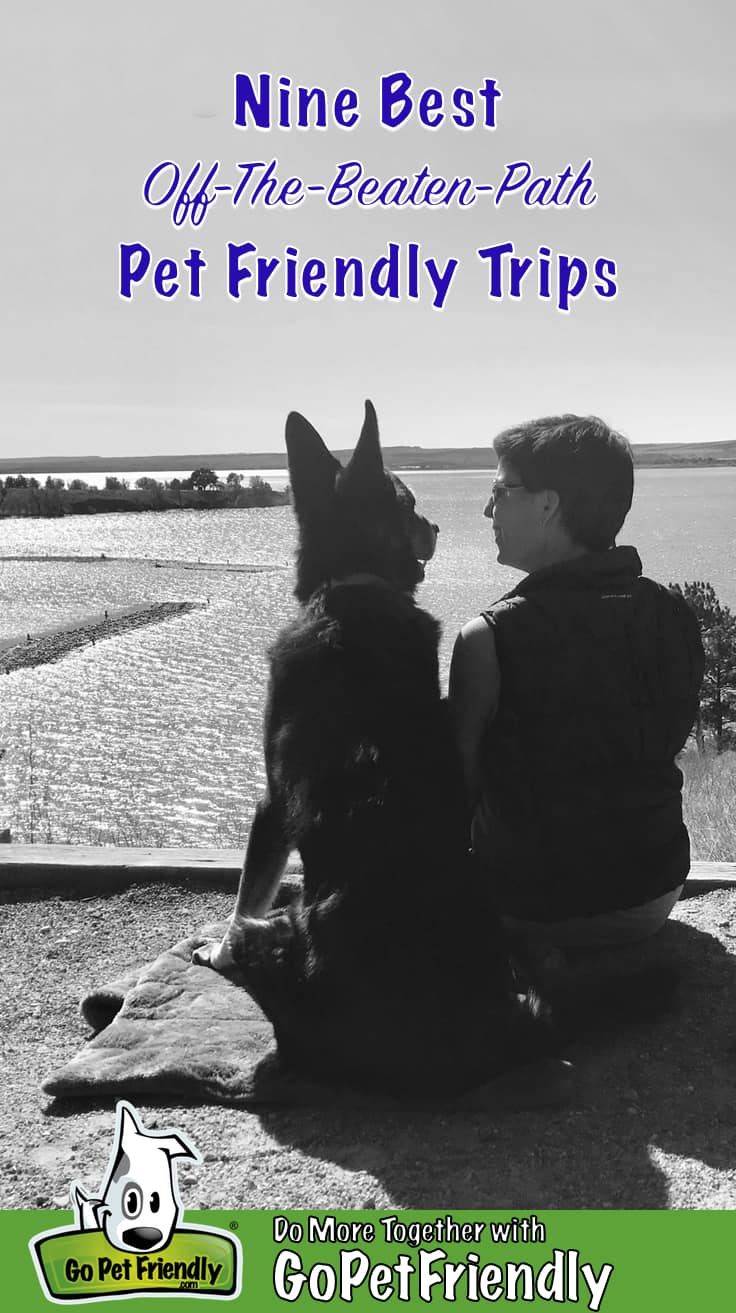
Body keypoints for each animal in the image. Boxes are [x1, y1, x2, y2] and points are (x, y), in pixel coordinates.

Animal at [192, 401, 548, 1097]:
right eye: (410, 503)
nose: (436, 522)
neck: (349, 588)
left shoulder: (271, 805)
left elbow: (247, 890)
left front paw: (211, 950)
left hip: (274, 935)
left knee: (255, 930)